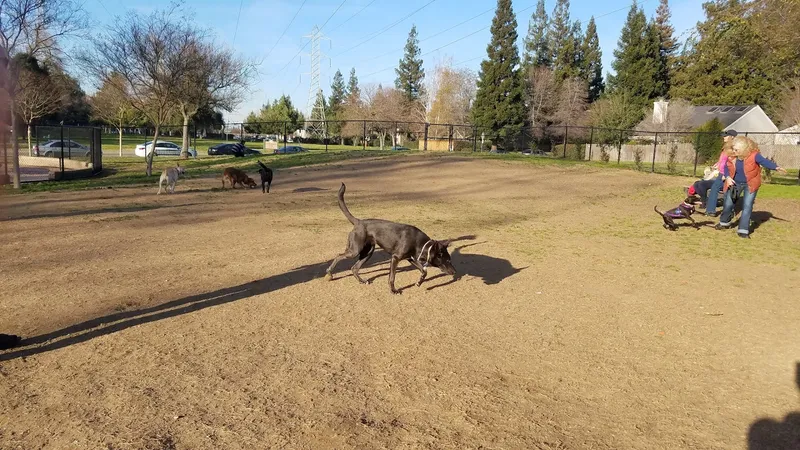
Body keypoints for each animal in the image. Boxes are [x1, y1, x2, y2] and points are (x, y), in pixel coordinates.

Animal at [322, 183, 454, 296]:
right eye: (447, 260)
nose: (455, 271)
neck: (419, 243)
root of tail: (358, 222)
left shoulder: (410, 258)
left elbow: (424, 271)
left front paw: (419, 283)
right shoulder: (395, 258)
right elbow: (392, 277)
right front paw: (393, 290)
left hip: (368, 253)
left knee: (354, 268)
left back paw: (362, 281)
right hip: (355, 250)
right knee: (339, 256)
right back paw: (329, 273)